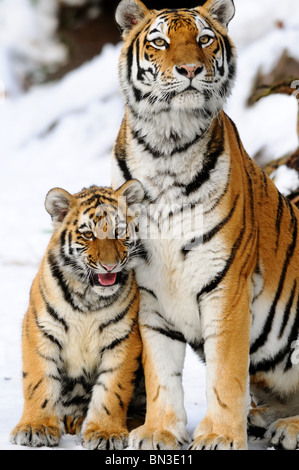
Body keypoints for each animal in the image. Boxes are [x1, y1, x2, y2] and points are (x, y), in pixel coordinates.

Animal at [11, 182, 146, 450]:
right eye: (89, 235)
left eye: (119, 231)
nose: (109, 266)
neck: (89, 298)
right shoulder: (40, 330)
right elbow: (39, 382)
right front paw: (36, 428)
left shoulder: (124, 339)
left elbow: (112, 390)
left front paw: (105, 433)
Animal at [112, 0, 299, 450]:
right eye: (160, 42)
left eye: (204, 39)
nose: (191, 70)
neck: (166, 148)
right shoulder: (150, 291)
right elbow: (161, 371)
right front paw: (159, 431)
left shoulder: (226, 284)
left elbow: (226, 372)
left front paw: (219, 436)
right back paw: (264, 419)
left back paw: (286, 428)